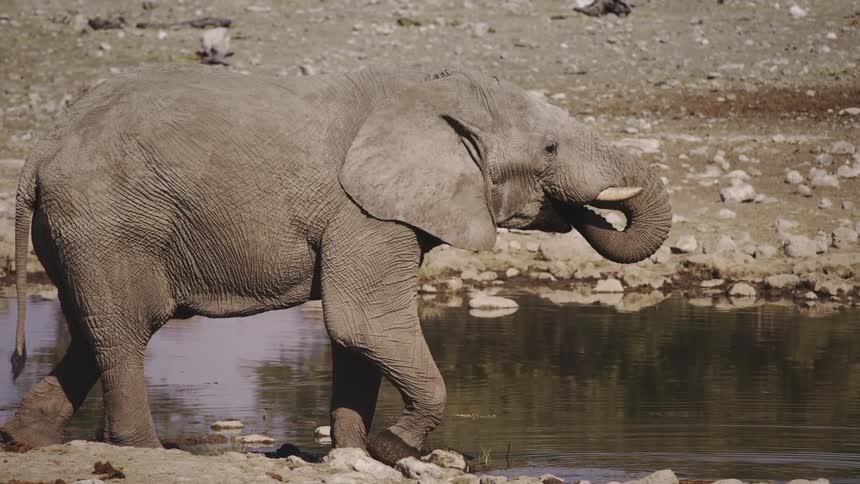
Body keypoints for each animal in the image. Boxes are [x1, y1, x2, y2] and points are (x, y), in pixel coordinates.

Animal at [1, 65, 671, 465]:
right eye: (550, 149)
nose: (583, 210)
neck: (432, 93)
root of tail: (39, 150)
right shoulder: (364, 212)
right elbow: (363, 322)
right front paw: (391, 447)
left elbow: (356, 337)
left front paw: (355, 457)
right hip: (108, 222)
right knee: (122, 331)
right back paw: (146, 452)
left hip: (84, 231)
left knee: (92, 330)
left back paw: (24, 440)